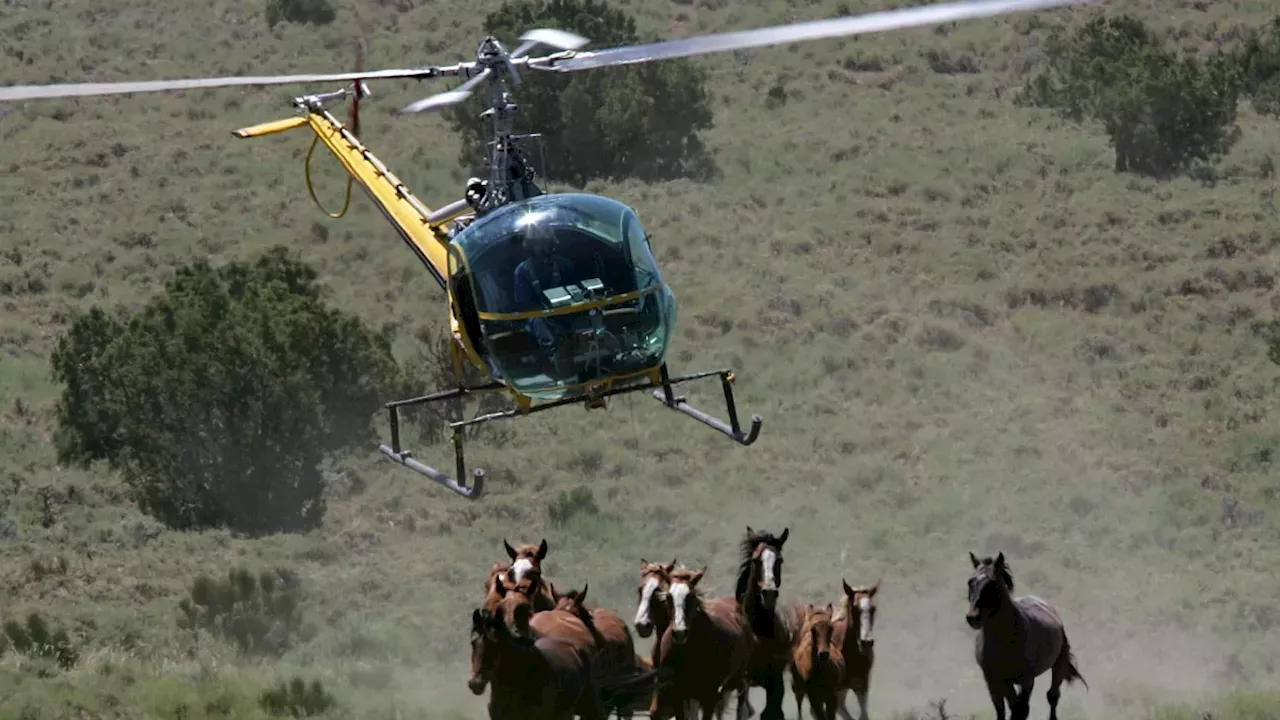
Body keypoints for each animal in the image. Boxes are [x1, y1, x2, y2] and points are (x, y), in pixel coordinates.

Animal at [651, 567, 754, 720]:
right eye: (669, 597)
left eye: (691, 596)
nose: (680, 632)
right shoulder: (677, 694)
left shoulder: (709, 696)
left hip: (736, 679)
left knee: (740, 703)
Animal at [735, 526, 796, 720]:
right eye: (756, 560)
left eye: (779, 560)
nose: (768, 593)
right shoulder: (743, 682)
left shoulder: (775, 681)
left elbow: (772, 712)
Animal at [966, 552, 1087, 720]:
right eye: (970, 582)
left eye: (992, 583)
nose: (973, 617)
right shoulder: (993, 681)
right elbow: (1002, 710)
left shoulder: (1026, 680)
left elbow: (1020, 709)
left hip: (1058, 666)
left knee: (1053, 696)